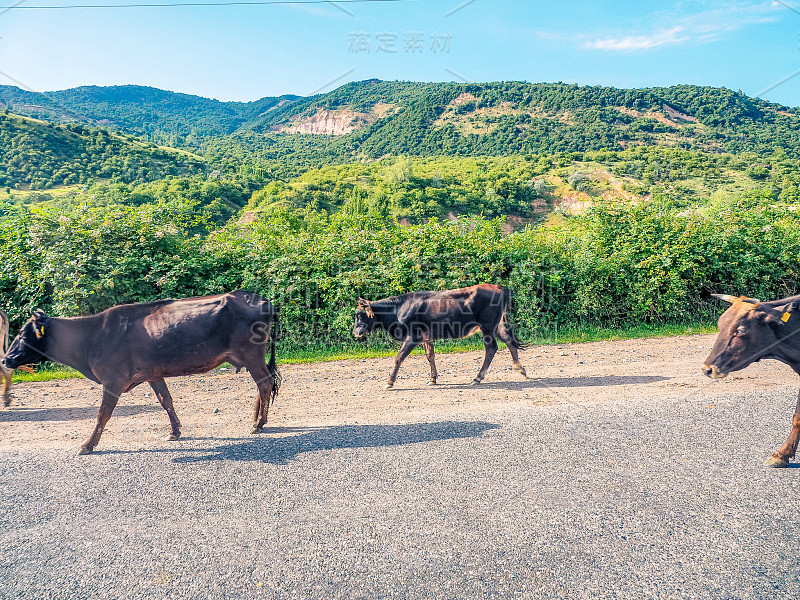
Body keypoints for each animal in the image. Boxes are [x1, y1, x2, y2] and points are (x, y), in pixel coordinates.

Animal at [0, 290, 282, 454]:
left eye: (23, 335)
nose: (6, 358)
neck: (93, 336)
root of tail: (260, 299)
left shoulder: (112, 379)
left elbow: (103, 414)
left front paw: (88, 445)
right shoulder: (153, 373)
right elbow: (166, 401)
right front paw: (174, 431)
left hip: (251, 353)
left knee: (265, 383)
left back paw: (258, 423)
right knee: (263, 385)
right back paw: (256, 419)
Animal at [354, 284, 528, 390]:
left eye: (359, 314)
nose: (355, 332)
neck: (398, 309)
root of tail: (498, 286)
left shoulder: (412, 337)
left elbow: (399, 358)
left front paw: (389, 382)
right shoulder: (426, 337)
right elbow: (430, 356)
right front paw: (433, 379)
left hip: (487, 325)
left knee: (491, 348)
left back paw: (477, 378)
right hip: (496, 325)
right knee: (509, 341)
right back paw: (519, 368)